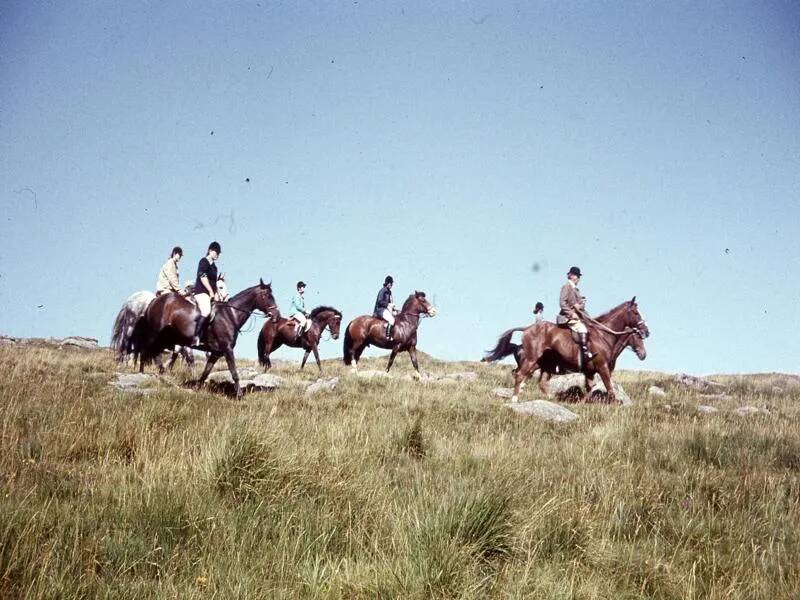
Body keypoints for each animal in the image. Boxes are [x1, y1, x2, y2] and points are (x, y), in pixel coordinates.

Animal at [134, 280, 278, 398]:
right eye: (267, 296)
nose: (276, 316)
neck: (230, 315)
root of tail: (154, 301)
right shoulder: (227, 349)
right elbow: (234, 373)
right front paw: (239, 395)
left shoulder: (216, 353)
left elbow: (205, 372)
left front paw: (196, 389)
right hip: (154, 334)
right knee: (145, 351)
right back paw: (141, 374)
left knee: (156, 354)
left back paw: (161, 373)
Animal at [482, 298, 648, 404]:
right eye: (636, 313)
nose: (647, 331)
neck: (604, 336)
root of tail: (527, 328)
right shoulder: (602, 368)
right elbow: (609, 387)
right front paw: (614, 405)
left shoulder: (590, 371)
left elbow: (590, 388)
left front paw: (582, 403)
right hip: (531, 360)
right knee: (519, 375)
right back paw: (515, 399)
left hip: (543, 365)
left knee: (539, 382)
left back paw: (550, 398)